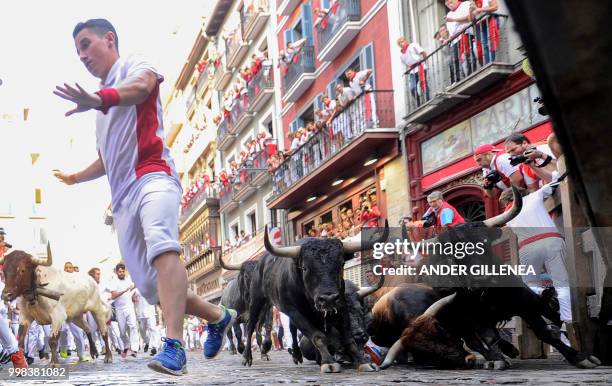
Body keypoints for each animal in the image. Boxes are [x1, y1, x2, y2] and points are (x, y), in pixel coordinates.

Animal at [241, 222, 390, 372]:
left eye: (341, 264)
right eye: (305, 268)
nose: (328, 299)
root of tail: (259, 264)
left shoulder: (340, 306)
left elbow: (348, 338)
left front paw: (363, 361)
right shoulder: (295, 312)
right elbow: (318, 336)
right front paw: (328, 362)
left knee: (292, 329)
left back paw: (297, 354)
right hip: (257, 301)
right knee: (251, 326)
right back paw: (246, 356)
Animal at [380, 187, 600, 370]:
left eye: (483, 242)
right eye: (453, 253)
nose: (482, 276)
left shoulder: (526, 302)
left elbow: (545, 330)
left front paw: (581, 357)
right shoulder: (472, 316)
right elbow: (487, 337)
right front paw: (496, 359)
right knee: (475, 341)